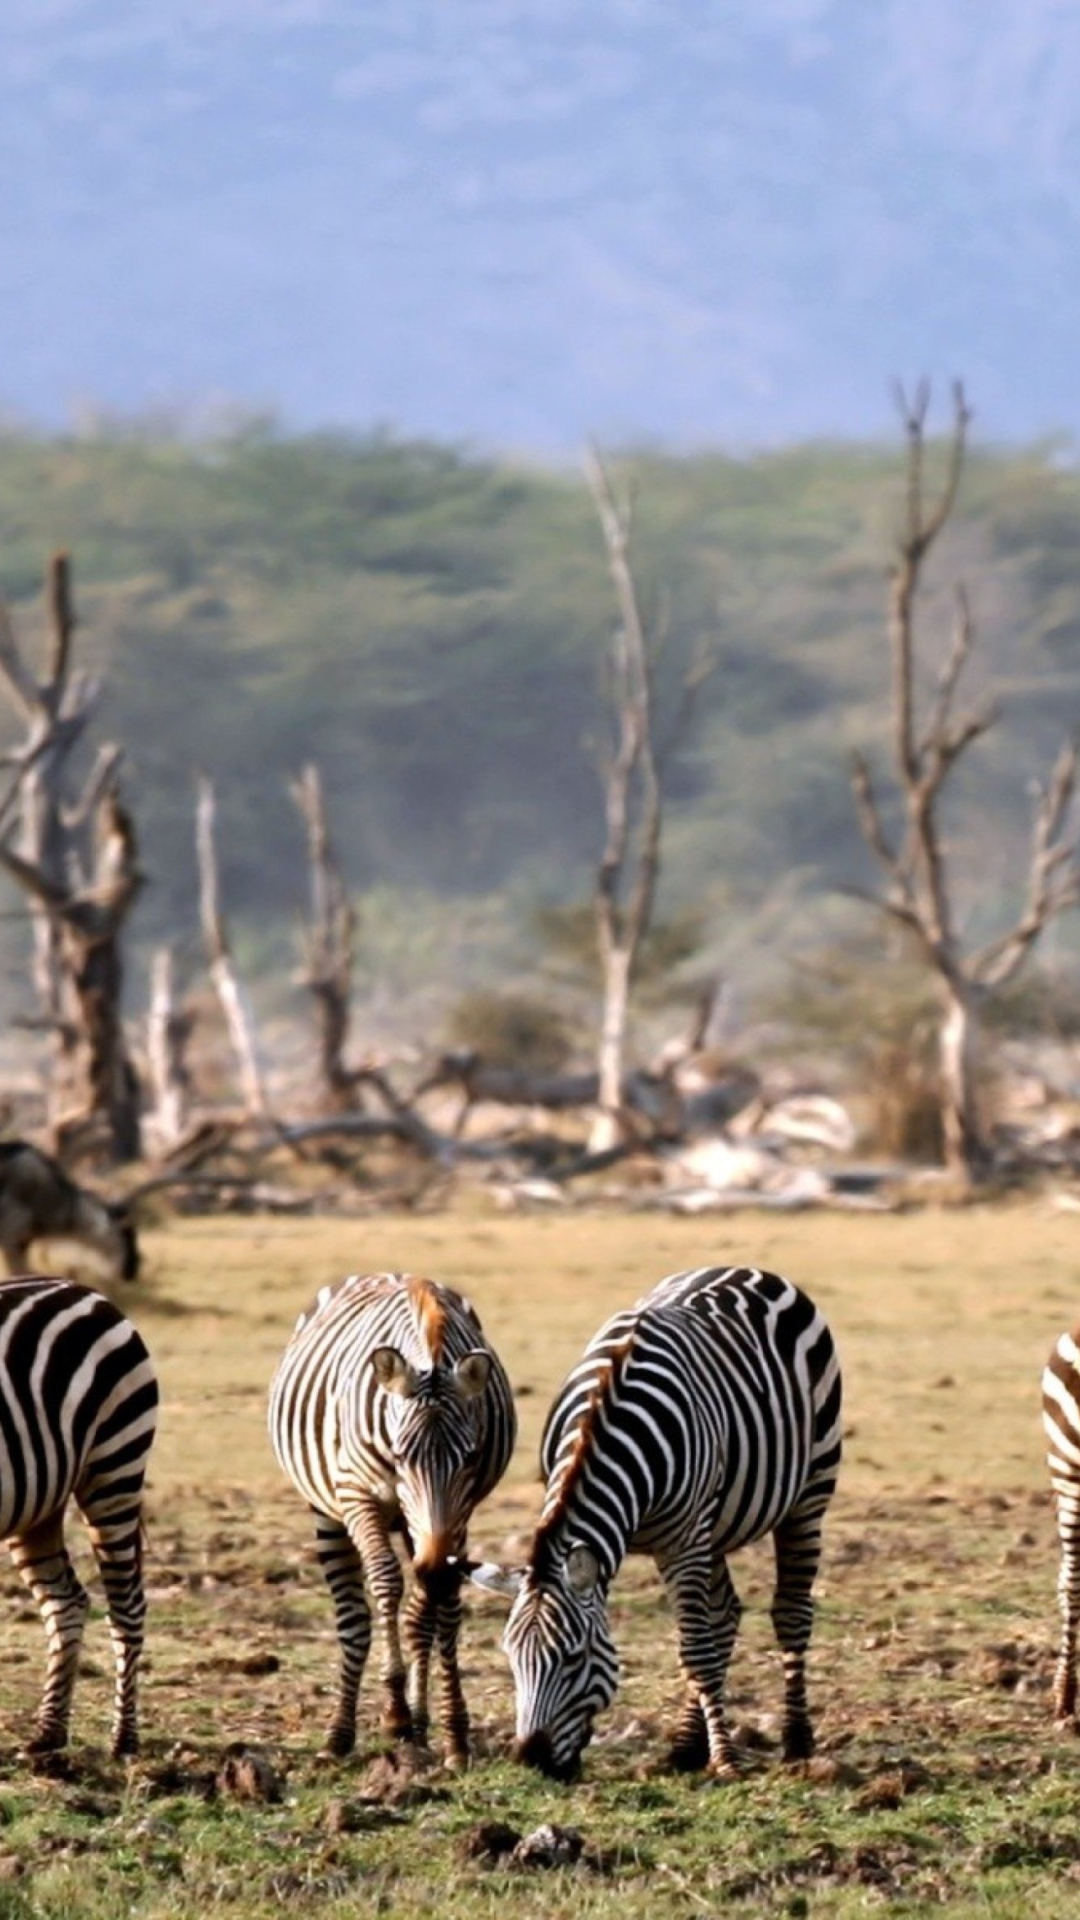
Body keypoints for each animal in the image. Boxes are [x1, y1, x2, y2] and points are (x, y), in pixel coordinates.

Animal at [0, 1274, 158, 1758]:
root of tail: (81, 1288)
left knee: (127, 1606)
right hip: (38, 1503)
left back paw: (124, 1738)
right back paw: (49, 1733)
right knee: (66, 1603)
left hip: (115, 1466)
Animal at [267, 1274, 515, 1766]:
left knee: (421, 1612)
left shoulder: (460, 1512)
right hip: (330, 1511)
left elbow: (442, 1612)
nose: (436, 1567)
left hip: (417, 1528)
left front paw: (453, 1733)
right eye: (400, 1456)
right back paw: (344, 1733)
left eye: (470, 1457)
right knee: (353, 1617)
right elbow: (385, 1582)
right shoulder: (357, 1495)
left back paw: (419, 1724)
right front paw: (394, 1713)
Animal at [470, 1259, 841, 1781]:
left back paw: (796, 1741)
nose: (532, 1761)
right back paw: (687, 1746)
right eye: (510, 1657)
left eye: (574, 1658)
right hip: (716, 1527)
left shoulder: (683, 1542)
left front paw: (726, 1760)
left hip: (808, 1493)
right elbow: (702, 1641)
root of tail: (745, 1268)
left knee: (790, 1613)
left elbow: (696, 1654)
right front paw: (698, 1749)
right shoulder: (681, 1538)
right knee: (725, 1613)